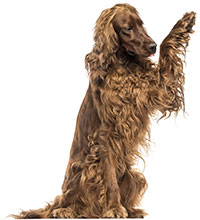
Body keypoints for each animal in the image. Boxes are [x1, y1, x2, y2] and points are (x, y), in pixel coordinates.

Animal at [13, 3, 195, 218]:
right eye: (128, 28)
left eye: (142, 24)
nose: (152, 46)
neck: (124, 66)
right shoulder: (106, 134)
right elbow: (110, 180)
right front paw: (114, 208)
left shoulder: (158, 90)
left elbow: (167, 51)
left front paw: (184, 23)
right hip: (86, 168)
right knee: (70, 204)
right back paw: (66, 211)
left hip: (132, 174)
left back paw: (131, 210)